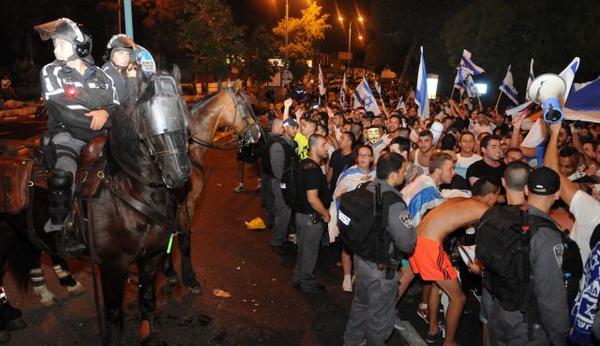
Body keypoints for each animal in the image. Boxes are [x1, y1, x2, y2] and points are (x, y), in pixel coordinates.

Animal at [166, 85, 264, 290]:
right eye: (244, 105)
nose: (258, 132)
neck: (190, 148)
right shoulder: (186, 203)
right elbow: (184, 239)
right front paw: (189, 277)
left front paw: (170, 271)